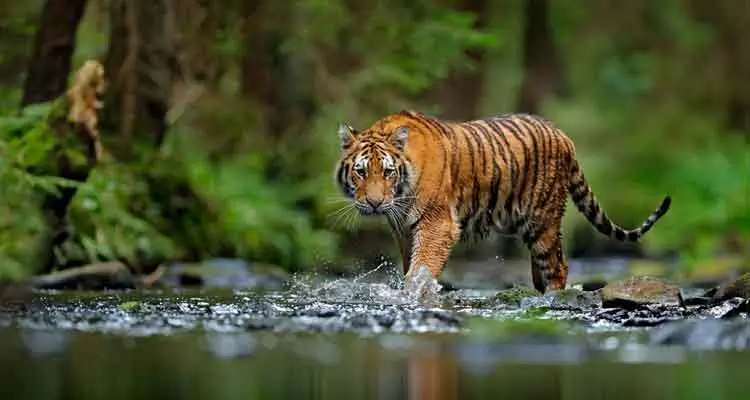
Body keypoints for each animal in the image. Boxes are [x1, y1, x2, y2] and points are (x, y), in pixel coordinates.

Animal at [334, 110, 671, 293]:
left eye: (387, 172)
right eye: (361, 172)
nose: (375, 203)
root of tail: (563, 135)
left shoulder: (437, 225)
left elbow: (421, 269)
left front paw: (414, 295)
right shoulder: (404, 230)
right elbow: (410, 266)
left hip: (542, 220)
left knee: (558, 266)